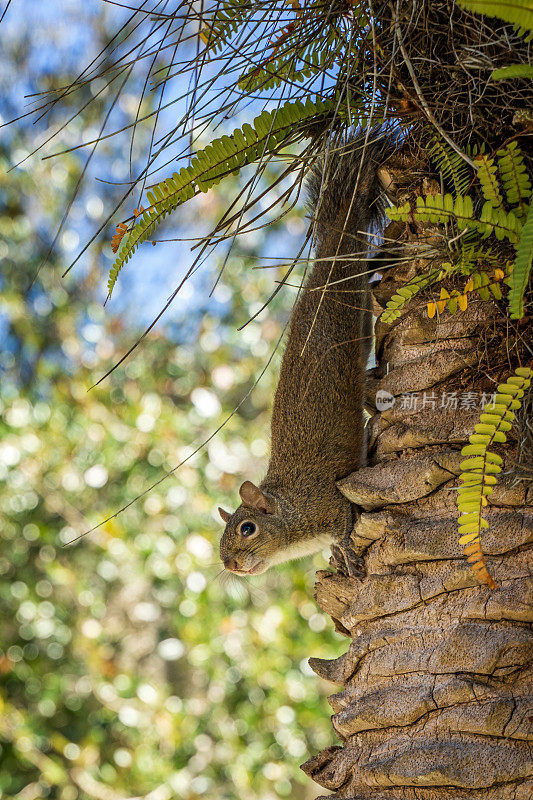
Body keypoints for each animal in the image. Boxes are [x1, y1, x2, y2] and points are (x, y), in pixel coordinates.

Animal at [217, 136, 394, 576]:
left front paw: (349, 557)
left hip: (355, 307)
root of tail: (327, 253)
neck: (291, 509)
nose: (230, 565)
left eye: (247, 529)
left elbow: (345, 529)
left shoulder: (331, 505)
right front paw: (337, 561)